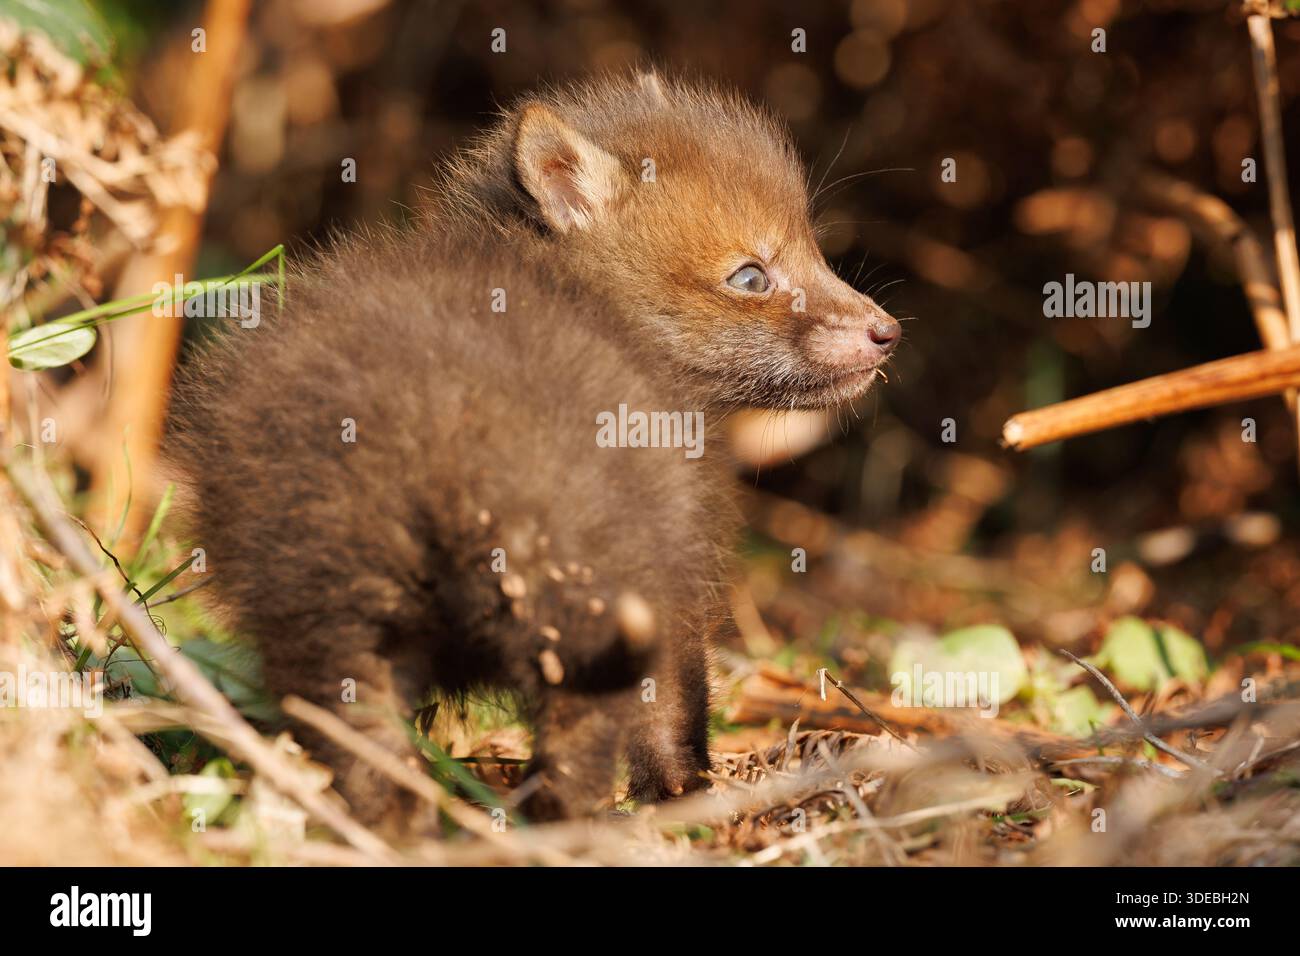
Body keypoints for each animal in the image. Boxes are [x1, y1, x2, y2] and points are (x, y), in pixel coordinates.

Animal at [167, 71, 900, 826]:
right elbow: (677, 708)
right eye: (751, 276)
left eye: (814, 249)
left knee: (360, 741)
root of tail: (444, 462)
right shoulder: (680, 569)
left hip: (326, 613)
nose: (888, 332)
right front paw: (687, 793)